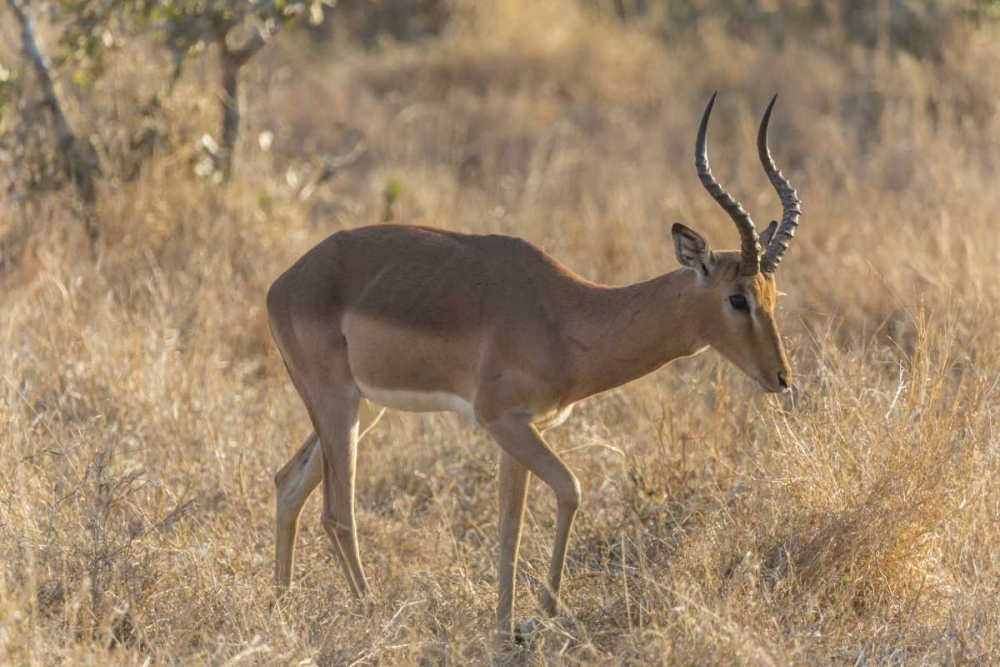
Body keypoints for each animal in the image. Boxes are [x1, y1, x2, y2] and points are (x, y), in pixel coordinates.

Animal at [266, 93, 801, 638]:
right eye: (737, 298)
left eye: (772, 295)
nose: (782, 378)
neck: (566, 314)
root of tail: (283, 284)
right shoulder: (501, 419)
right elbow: (571, 490)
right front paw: (545, 610)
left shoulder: (521, 428)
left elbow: (511, 525)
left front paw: (505, 627)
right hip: (338, 403)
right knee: (337, 512)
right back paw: (370, 613)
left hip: (363, 407)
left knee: (288, 484)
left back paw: (282, 606)